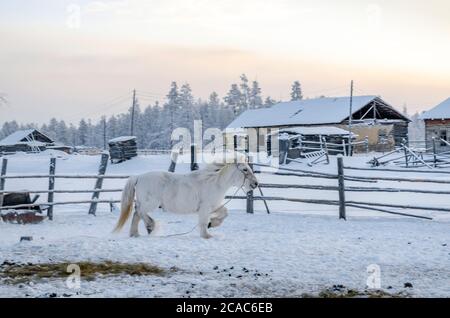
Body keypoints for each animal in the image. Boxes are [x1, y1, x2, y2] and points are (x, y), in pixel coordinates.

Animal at [112, 161, 258, 238]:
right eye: (245, 169)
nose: (256, 184)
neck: (214, 182)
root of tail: (139, 177)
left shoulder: (214, 206)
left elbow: (224, 213)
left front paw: (212, 224)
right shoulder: (205, 208)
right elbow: (203, 222)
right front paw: (207, 235)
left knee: (136, 214)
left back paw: (136, 234)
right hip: (150, 203)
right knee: (139, 211)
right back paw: (150, 226)